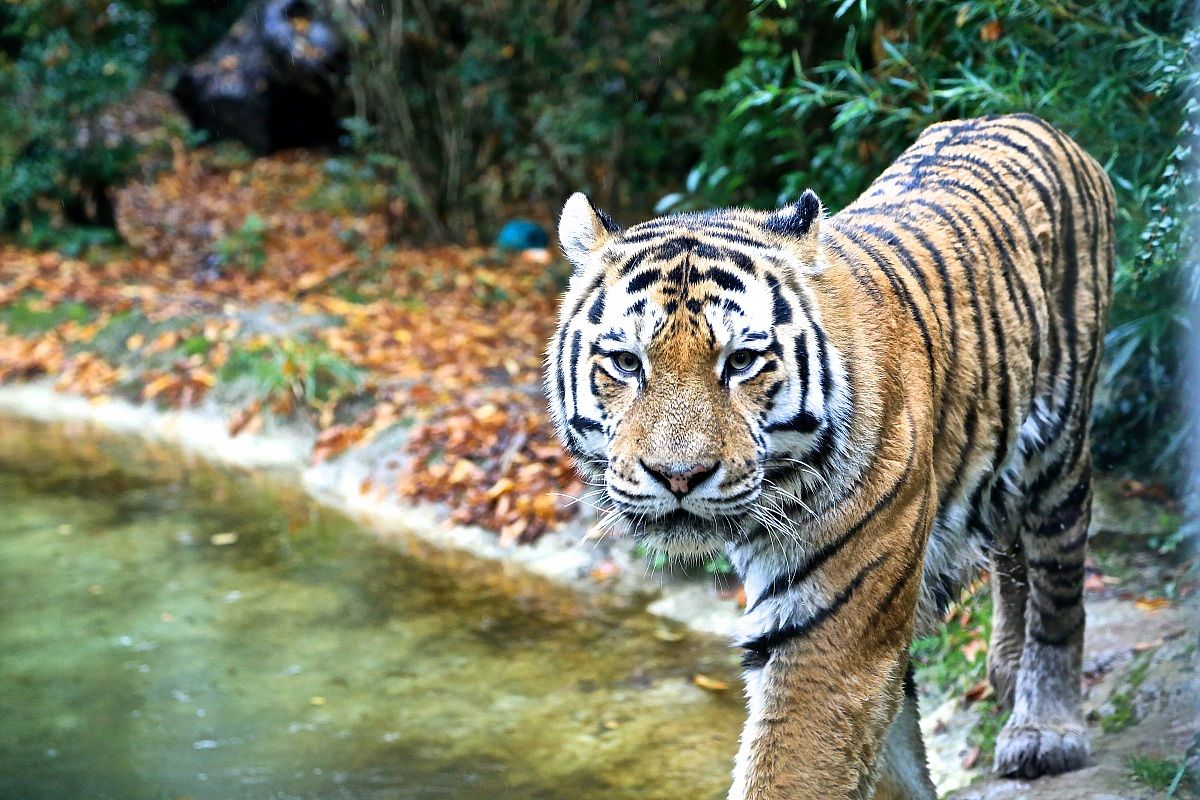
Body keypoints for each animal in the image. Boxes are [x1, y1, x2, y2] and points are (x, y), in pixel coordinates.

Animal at [544, 113, 1115, 799]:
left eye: (741, 361)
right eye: (627, 363)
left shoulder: (829, 635)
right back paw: (1005, 670)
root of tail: (1028, 118)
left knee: (1059, 585)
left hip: (1060, 449)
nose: (678, 476)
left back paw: (1046, 731)